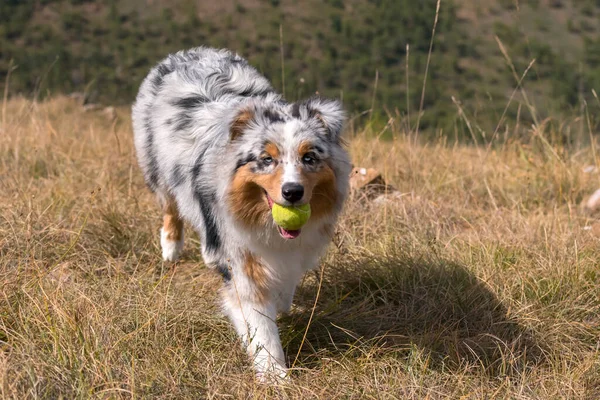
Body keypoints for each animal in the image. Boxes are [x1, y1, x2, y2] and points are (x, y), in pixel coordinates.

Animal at [129, 47, 350, 382]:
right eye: (266, 159)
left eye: (309, 157)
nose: (293, 192)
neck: (263, 220)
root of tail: (192, 51)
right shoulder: (241, 257)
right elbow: (259, 322)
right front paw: (275, 376)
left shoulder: (291, 252)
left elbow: (283, 288)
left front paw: (282, 304)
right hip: (156, 166)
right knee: (170, 208)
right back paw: (170, 247)